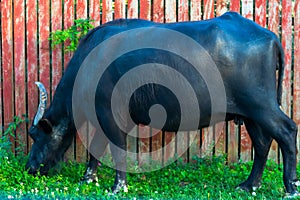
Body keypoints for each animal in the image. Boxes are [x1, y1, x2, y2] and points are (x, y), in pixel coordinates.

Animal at [25, 11, 298, 196]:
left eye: (36, 135)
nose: (30, 167)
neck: (90, 63)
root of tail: (270, 37)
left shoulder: (110, 115)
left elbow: (114, 149)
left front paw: (118, 186)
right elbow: (96, 149)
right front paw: (88, 179)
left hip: (261, 105)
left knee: (287, 132)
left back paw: (290, 187)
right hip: (251, 113)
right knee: (262, 144)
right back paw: (249, 185)